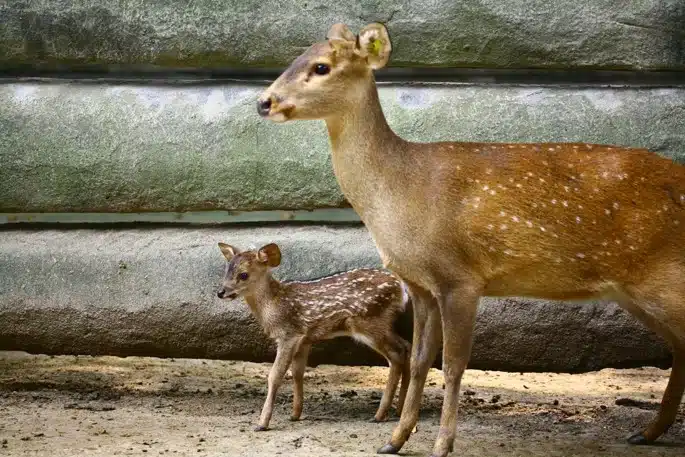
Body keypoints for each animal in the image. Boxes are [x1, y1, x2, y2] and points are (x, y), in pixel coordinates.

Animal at [215, 242, 411, 431]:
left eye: (243, 275)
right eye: (226, 271)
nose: (221, 292)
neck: (274, 305)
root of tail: (402, 289)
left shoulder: (289, 334)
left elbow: (275, 375)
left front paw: (262, 423)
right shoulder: (305, 339)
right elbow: (297, 373)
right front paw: (295, 414)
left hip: (371, 323)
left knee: (397, 354)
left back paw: (380, 414)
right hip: (382, 325)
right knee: (408, 347)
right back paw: (399, 410)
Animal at [255, 22, 685, 457]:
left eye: (321, 66)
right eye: (296, 55)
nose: (264, 102)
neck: (399, 194)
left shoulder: (460, 278)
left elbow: (454, 364)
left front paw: (442, 444)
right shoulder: (421, 286)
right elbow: (420, 361)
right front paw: (395, 439)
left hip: (663, 278)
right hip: (635, 292)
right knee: (680, 348)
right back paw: (647, 432)